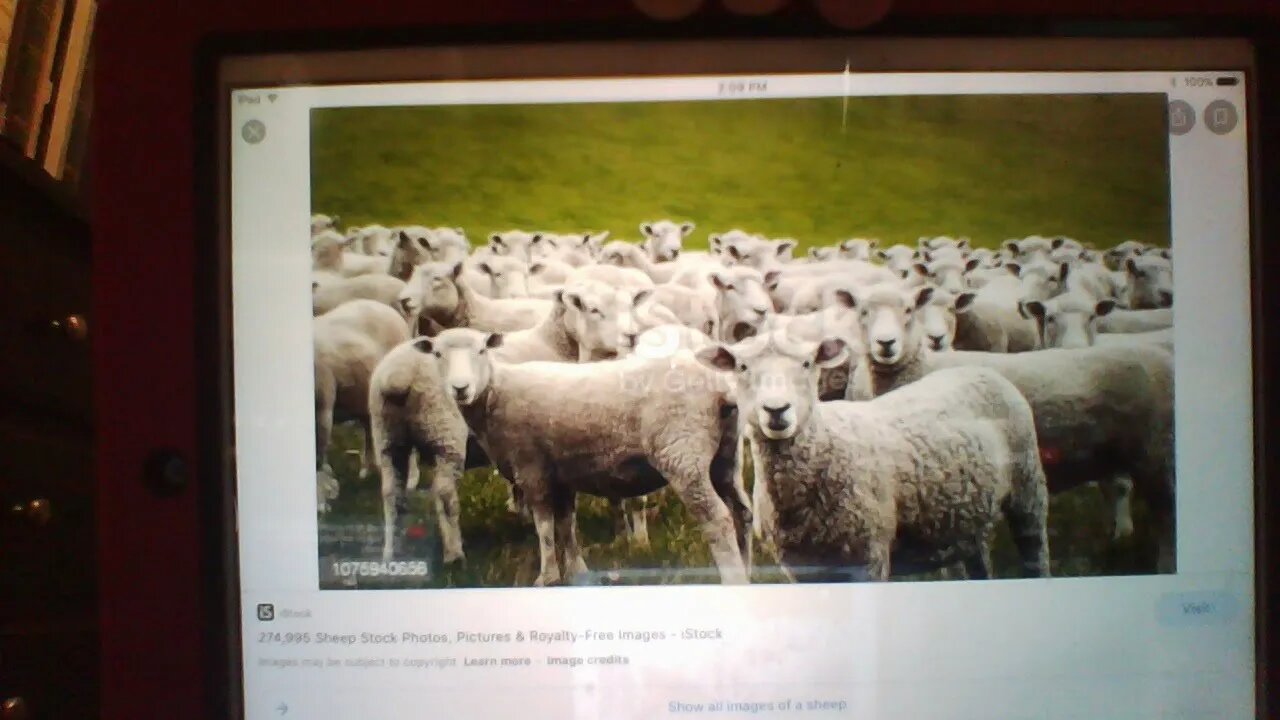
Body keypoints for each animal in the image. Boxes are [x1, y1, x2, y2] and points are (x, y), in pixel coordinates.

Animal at [426, 328, 751, 586]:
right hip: (726, 456)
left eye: (481, 351)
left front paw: (547, 577)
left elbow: (544, 525)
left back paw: (733, 580)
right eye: (438, 355)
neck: (496, 392)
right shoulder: (561, 473)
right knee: (742, 510)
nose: (460, 389)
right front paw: (576, 572)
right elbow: (566, 525)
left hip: (682, 454)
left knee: (717, 519)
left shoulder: (531, 467)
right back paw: (749, 567)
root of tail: (721, 389)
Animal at [697, 334, 1050, 581]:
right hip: (966, 521)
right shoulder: (800, 568)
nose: (776, 410)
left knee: (1036, 552)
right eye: (742, 367)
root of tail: (979, 370)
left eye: (808, 364)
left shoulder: (870, 556)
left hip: (1028, 492)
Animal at [846, 283, 1175, 569]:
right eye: (863, 311)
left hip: (1158, 455)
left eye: (908, 310)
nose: (886, 344)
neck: (921, 368)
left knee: (1166, 518)